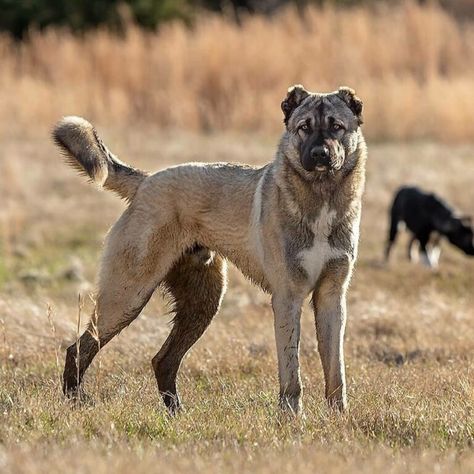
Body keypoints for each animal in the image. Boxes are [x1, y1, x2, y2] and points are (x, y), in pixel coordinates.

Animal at [54, 85, 366, 414]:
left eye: (336, 126)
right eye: (304, 127)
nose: (320, 155)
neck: (320, 198)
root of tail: (146, 181)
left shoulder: (331, 298)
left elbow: (336, 372)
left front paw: (338, 417)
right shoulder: (287, 298)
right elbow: (291, 374)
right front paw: (292, 418)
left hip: (201, 303)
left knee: (163, 360)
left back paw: (176, 414)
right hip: (127, 296)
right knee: (79, 348)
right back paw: (75, 401)